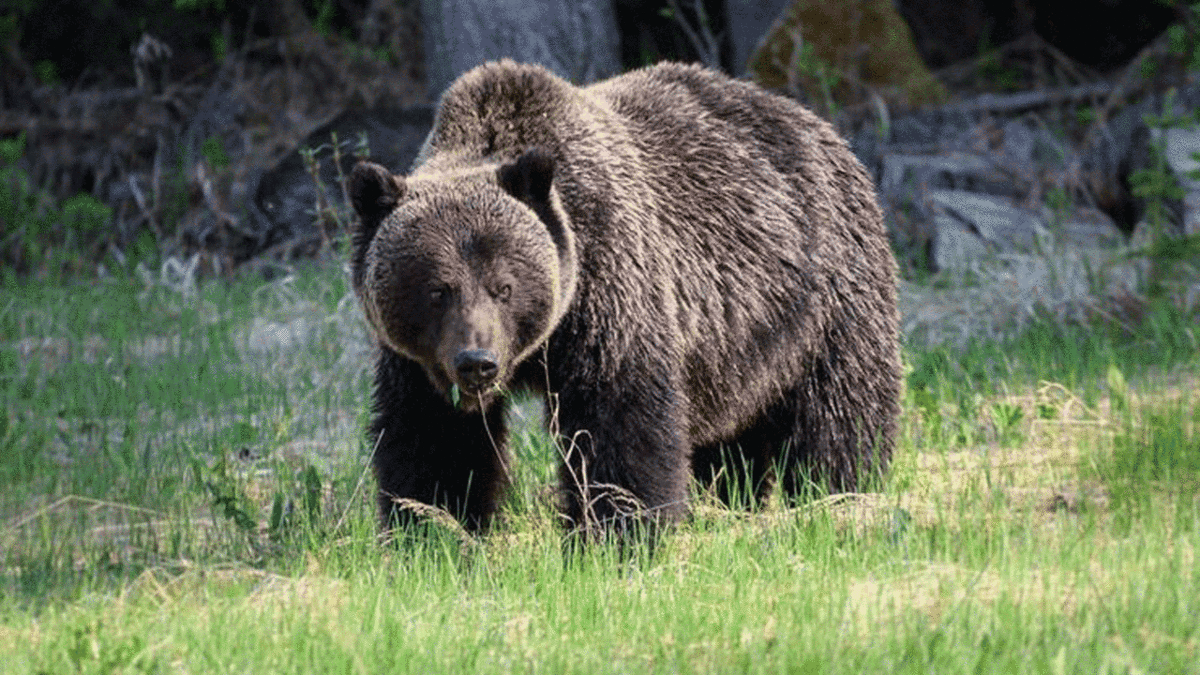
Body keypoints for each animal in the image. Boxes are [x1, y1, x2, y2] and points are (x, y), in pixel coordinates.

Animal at [350, 60, 902, 538]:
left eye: (503, 286)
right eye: (437, 289)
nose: (477, 362)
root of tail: (820, 125)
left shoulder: (611, 286)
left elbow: (619, 420)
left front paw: (615, 535)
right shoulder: (417, 361)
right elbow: (434, 441)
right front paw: (433, 533)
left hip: (824, 296)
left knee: (838, 413)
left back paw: (837, 498)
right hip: (737, 352)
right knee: (729, 442)